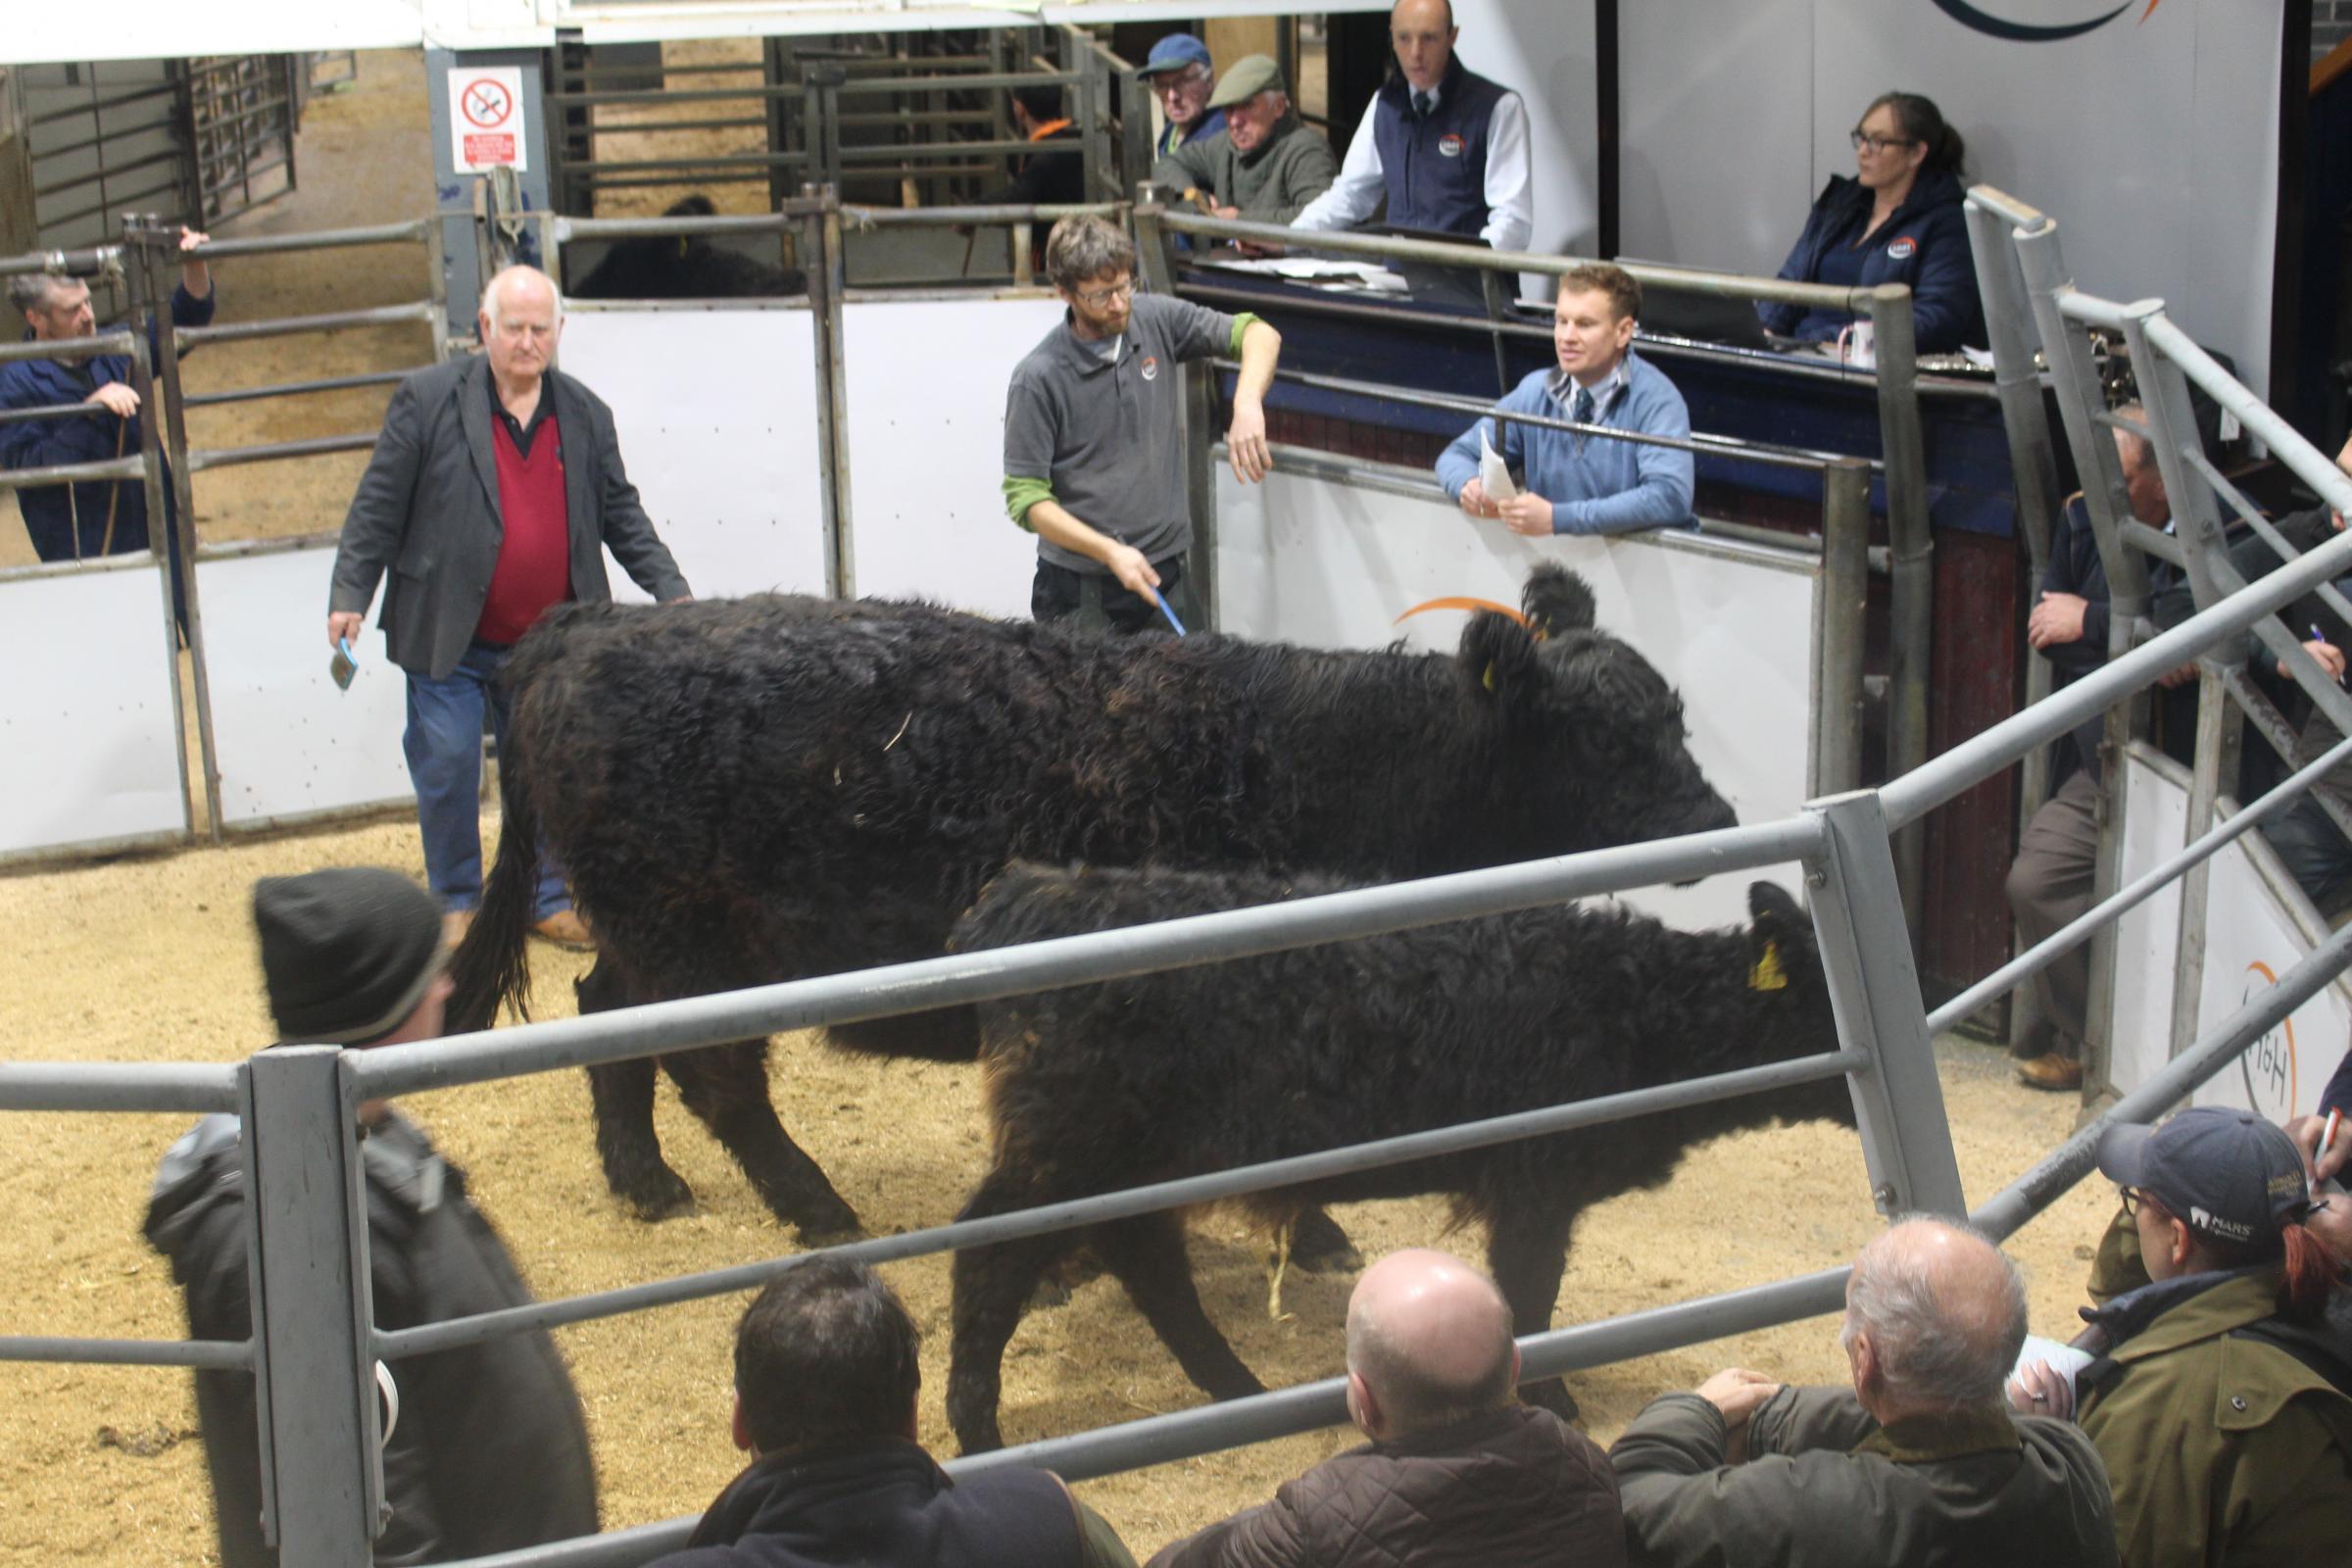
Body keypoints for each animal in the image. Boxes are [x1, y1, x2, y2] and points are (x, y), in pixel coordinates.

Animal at [444, 564, 1731, 1241]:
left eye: (1677, 713)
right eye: (1612, 740)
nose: (1717, 818)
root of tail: (597, 622)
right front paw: (1312, 1235)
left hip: (656, 932)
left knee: (607, 1013)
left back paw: (644, 1179)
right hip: (689, 934)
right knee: (716, 1074)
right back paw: (816, 1206)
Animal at [936, 864, 1853, 1457]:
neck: (1631, 1007)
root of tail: (1031, 890)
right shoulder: (1534, 1182)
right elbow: (1530, 1297)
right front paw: (1553, 1399)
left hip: (1135, 1159)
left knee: (1146, 1258)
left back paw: (1238, 1389)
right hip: (1068, 1148)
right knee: (990, 1253)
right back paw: (980, 1432)